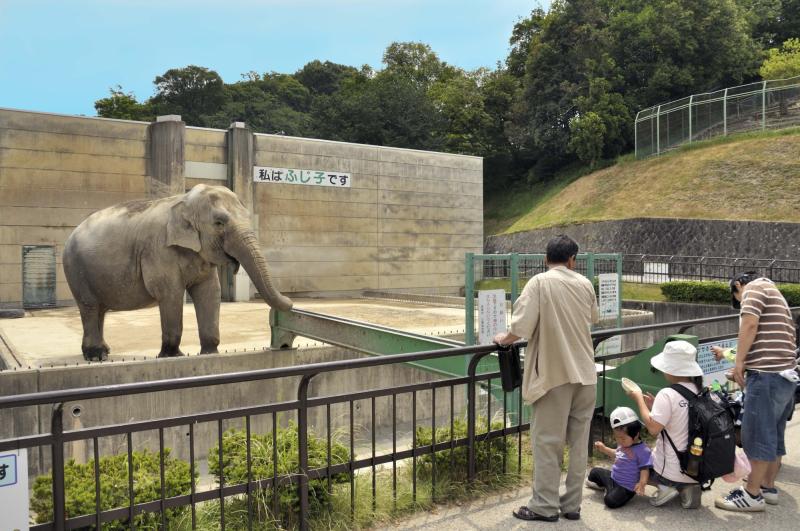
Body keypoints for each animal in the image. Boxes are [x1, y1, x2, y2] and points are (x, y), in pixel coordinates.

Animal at [62, 184, 292, 362]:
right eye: (219, 223)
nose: (291, 302)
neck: (184, 201)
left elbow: (210, 292)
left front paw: (210, 354)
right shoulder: (159, 250)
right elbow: (170, 293)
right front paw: (172, 356)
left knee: (100, 310)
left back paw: (104, 352)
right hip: (76, 269)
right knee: (90, 307)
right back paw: (95, 356)